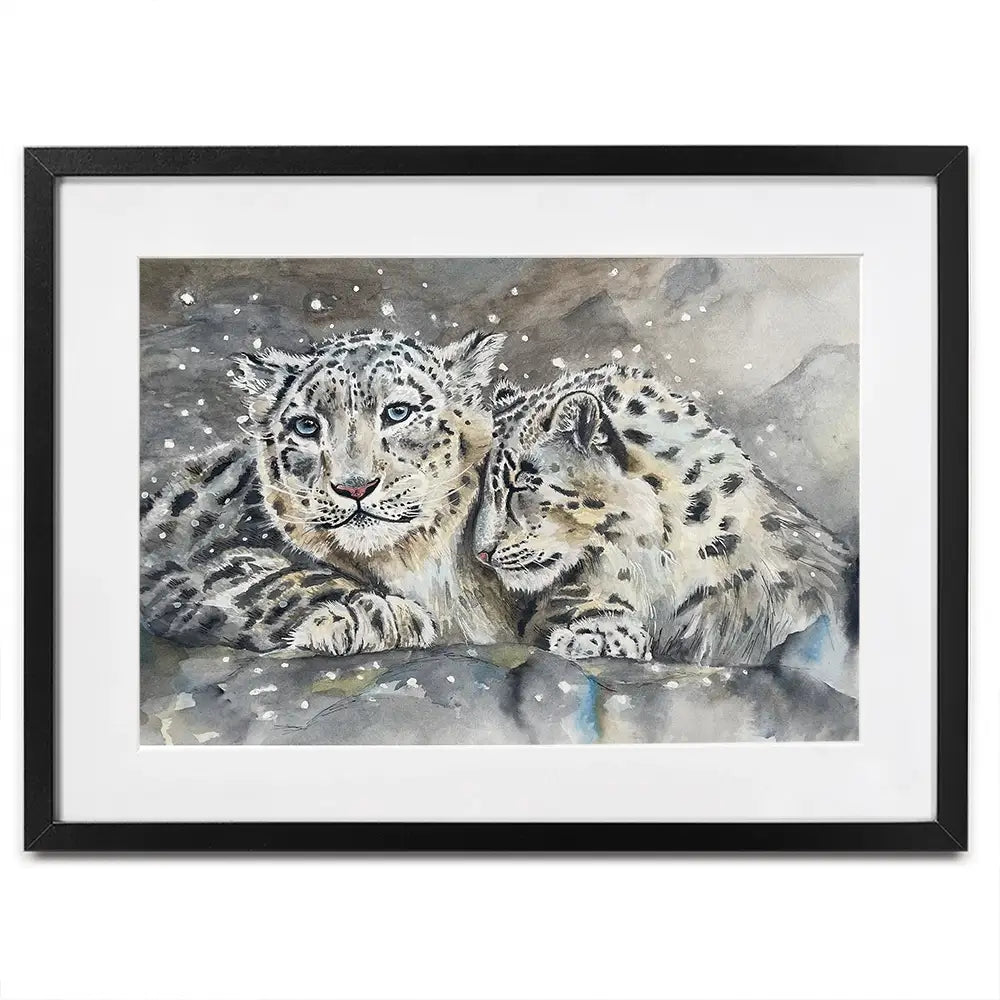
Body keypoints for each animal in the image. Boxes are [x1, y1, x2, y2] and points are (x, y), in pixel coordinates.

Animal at [140, 328, 516, 655]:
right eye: (306, 426)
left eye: (398, 412)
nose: (355, 487)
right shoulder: (185, 561)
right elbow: (266, 578)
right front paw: (377, 615)